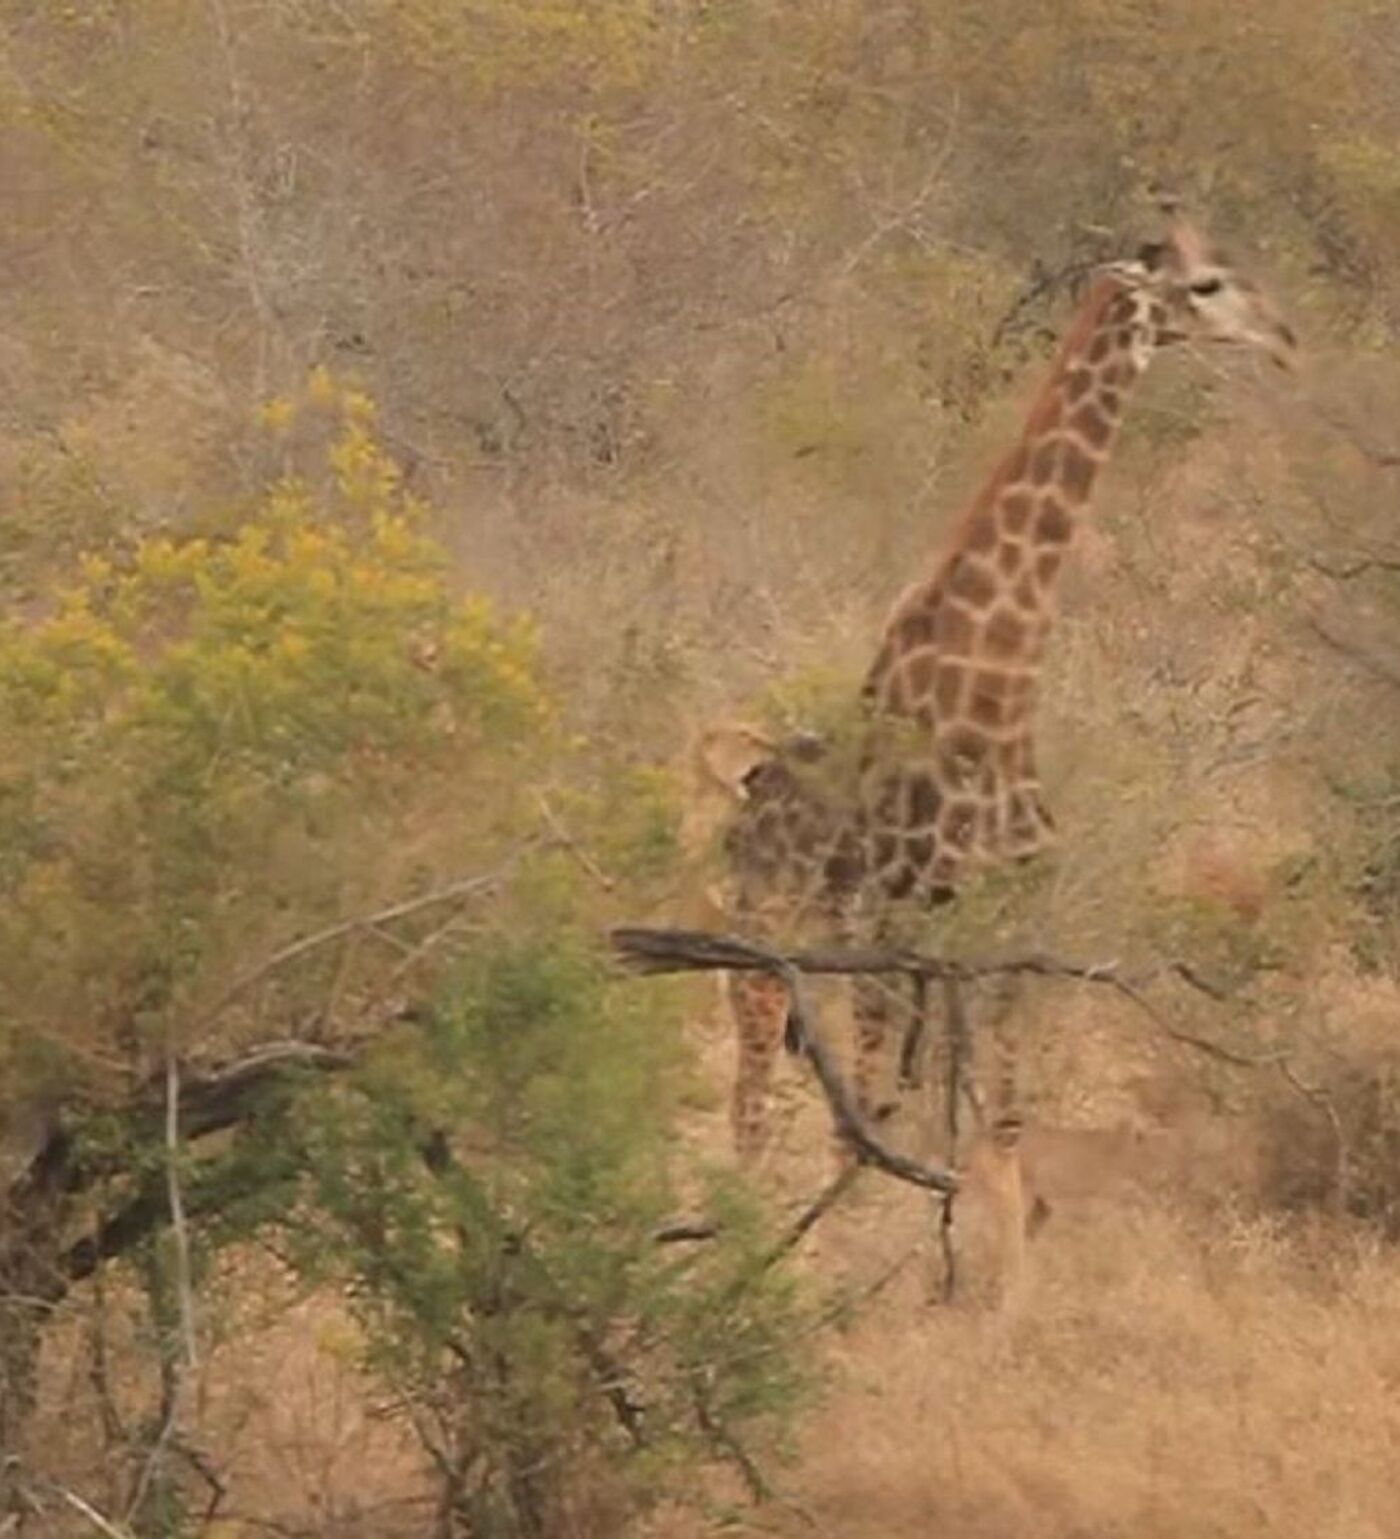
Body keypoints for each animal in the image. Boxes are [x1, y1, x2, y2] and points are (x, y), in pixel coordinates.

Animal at [713, 210, 1304, 1157]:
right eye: (1206, 283)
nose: (1283, 337)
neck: (1000, 681)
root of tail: (745, 805)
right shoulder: (906, 913)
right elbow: (893, 1115)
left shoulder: (1006, 918)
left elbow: (995, 1116)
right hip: (775, 932)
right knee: (756, 1090)